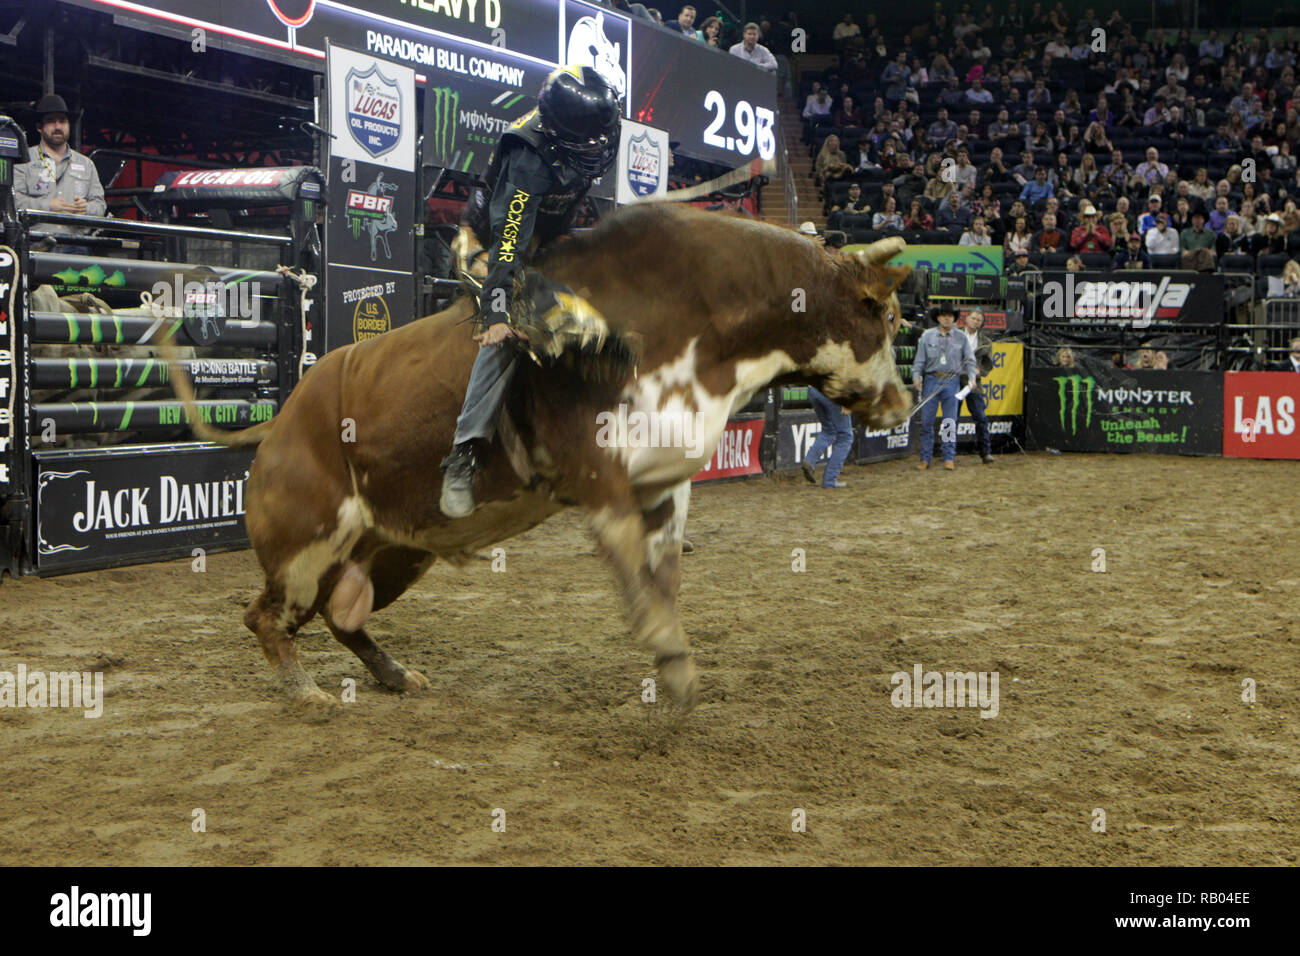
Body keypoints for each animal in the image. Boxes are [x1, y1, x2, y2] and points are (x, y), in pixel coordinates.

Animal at [167, 204, 909, 712]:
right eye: (889, 316)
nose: (903, 405)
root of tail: (282, 423)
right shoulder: (600, 474)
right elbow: (636, 572)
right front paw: (670, 659)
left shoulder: (664, 480)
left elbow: (663, 573)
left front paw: (674, 662)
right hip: (307, 540)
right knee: (267, 616)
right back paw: (306, 692)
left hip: (394, 551)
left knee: (341, 616)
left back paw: (396, 675)